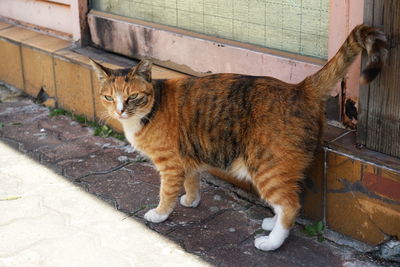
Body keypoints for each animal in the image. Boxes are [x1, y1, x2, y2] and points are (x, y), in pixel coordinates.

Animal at [90, 24, 384, 251]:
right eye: (108, 97)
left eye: (132, 97)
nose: (119, 110)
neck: (151, 108)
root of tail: (299, 88)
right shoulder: (187, 158)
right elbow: (192, 180)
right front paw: (191, 200)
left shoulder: (169, 164)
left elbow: (167, 192)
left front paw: (160, 214)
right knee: (285, 203)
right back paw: (271, 224)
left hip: (266, 166)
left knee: (290, 205)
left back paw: (271, 241)